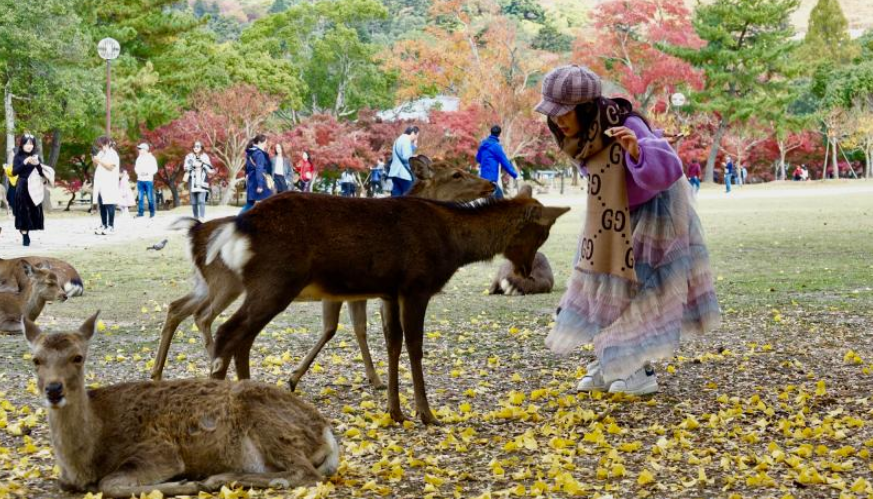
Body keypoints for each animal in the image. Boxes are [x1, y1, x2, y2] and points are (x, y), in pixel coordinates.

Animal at [26, 312, 339, 499]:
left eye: (78, 357)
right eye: (36, 360)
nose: (53, 390)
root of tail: (326, 432)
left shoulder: (160, 450)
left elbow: (110, 484)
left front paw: (182, 484)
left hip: (268, 422)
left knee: (307, 474)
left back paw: (216, 479)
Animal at [150, 155, 495, 389]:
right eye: (456, 174)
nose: (491, 184)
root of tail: (196, 231)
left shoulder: (362, 291)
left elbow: (358, 330)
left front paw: (374, 379)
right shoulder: (353, 290)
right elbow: (338, 329)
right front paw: (297, 378)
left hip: (214, 284)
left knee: (181, 309)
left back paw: (162, 373)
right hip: (244, 283)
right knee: (213, 321)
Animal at [202, 189, 568, 425]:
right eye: (544, 232)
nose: (526, 271)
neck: (453, 246)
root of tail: (238, 228)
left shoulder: (390, 293)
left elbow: (392, 344)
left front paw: (395, 411)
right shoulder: (416, 285)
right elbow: (415, 346)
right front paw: (427, 414)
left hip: (266, 286)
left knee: (243, 339)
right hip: (275, 281)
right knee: (228, 332)